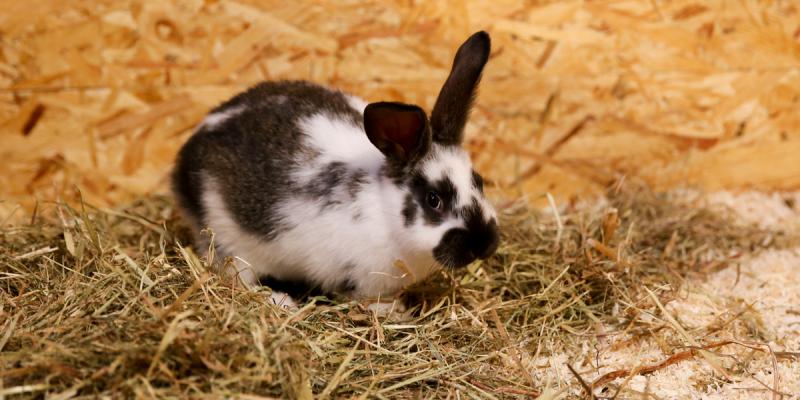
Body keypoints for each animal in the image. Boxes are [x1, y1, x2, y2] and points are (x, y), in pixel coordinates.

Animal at [173, 32, 500, 312]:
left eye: (479, 181)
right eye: (434, 199)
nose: (484, 244)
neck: (385, 213)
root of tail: (184, 159)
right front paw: (393, 312)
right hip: (228, 240)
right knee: (236, 279)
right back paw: (279, 301)